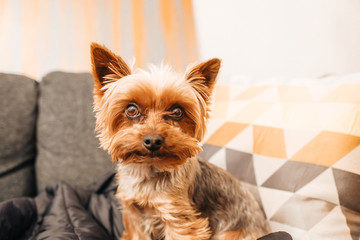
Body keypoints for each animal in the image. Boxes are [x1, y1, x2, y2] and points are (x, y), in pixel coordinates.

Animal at [90, 43, 270, 240]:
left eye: (177, 112)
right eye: (131, 110)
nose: (153, 140)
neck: (148, 171)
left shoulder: (179, 218)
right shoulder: (135, 215)